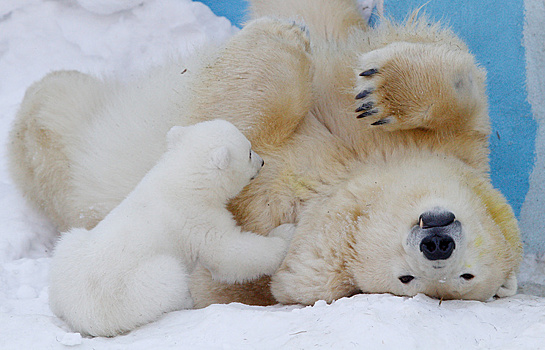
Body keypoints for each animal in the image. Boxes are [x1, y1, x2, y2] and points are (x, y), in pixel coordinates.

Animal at [7, 0, 520, 308]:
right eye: (408, 279)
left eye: (465, 278)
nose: (438, 243)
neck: (350, 176)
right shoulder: (452, 145)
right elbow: (462, 82)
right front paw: (374, 89)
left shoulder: (270, 229)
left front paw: (280, 43)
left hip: (71, 163)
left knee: (53, 118)